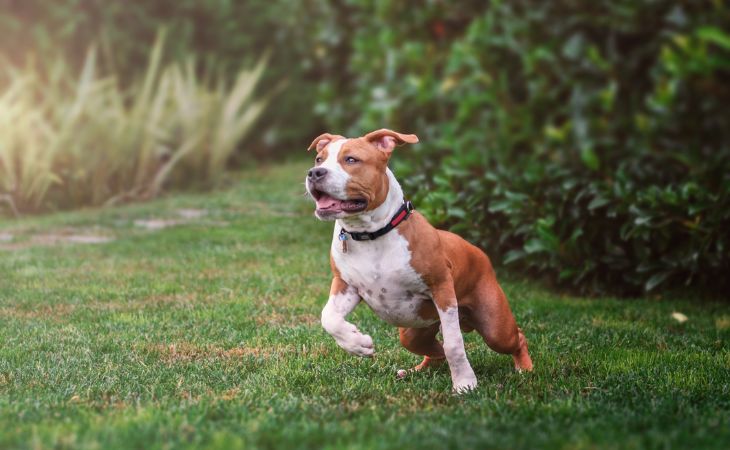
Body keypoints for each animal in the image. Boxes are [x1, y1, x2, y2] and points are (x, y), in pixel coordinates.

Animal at [302, 128, 528, 392]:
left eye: (351, 160)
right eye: (319, 159)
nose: (315, 172)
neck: (371, 234)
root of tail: (478, 251)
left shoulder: (442, 289)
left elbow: (454, 343)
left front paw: (465, 384)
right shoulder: (345, 285)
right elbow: (328, 317)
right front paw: (358, 344)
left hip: (495, 327)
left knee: (515, 336)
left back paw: (525, 369)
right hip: (413, 333)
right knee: (434, 351)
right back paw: (414, 371)